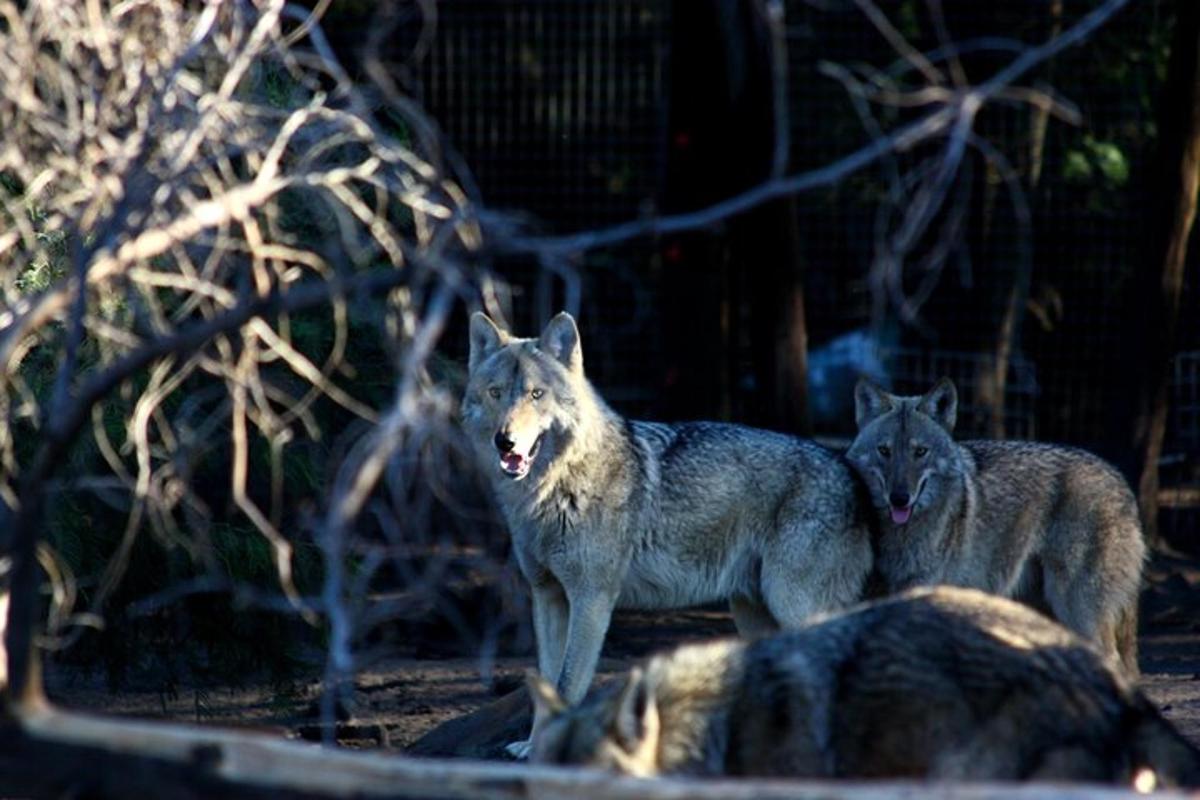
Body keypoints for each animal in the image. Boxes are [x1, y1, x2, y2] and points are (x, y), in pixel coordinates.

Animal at [460, 311, 873, 758]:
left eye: (536, 394)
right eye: (496, 393)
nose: (505, 441)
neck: (554, 489)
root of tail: (848, 467)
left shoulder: (591, 598)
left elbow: (568, 684)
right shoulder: (547, 596)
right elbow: (546, 683)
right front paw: (533, 745)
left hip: (793, 605)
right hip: (753, 614)